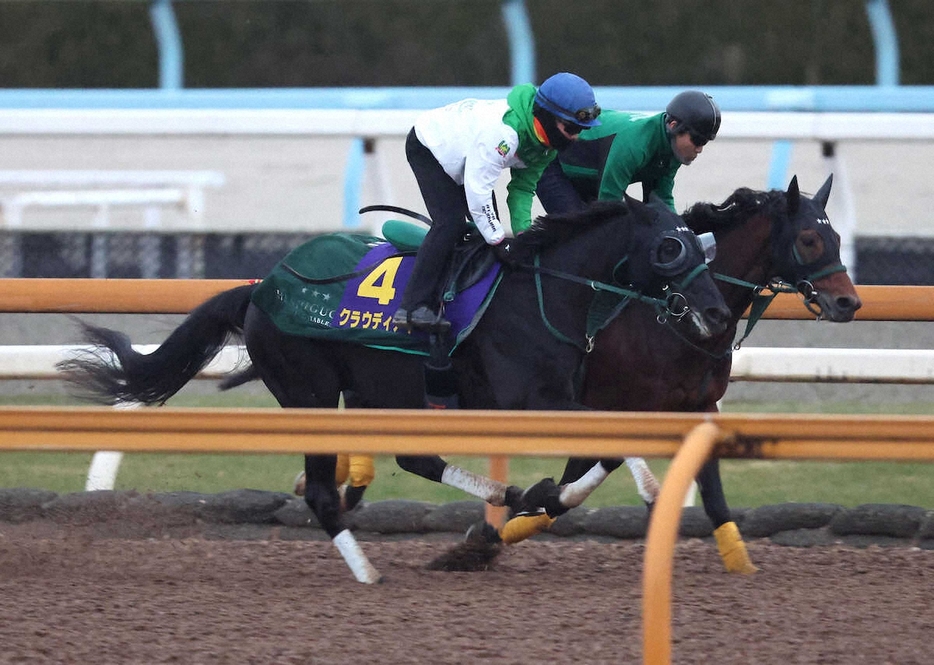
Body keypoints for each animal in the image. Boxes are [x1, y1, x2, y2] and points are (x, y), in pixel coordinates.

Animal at [58, 196, 736, 580]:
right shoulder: (533, 400)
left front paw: (535, 501)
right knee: (325, 493)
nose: (716, 312)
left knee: (416, 457)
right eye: (670, 247)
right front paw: (552, 496)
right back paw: (367, 574)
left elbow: (609, 445)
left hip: (384, 390)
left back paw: (507, 493)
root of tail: (259, 287)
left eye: (700, 242)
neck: (543, 291)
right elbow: (608, 447)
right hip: (309, 393)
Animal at [494, 175, 868, 572]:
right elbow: (577, 477)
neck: (677, 319)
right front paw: (505, 529)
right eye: (808, 239)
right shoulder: (609, 405)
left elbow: (713, 494)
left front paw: (741, 564)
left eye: (837, 238)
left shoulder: (699, 407)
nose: (848, 302)